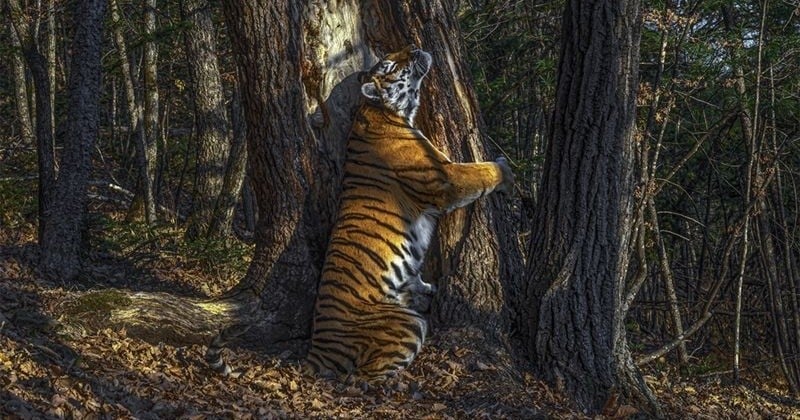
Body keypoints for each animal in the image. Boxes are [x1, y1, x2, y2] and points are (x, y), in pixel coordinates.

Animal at [304, 44, 516, 382]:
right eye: (390, 65)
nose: (415, 47)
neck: (383, 112)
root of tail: (316, 350)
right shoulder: (445, 179)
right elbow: (481, 171)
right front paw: (506, 172)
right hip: (407, 324)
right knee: (364, 377)